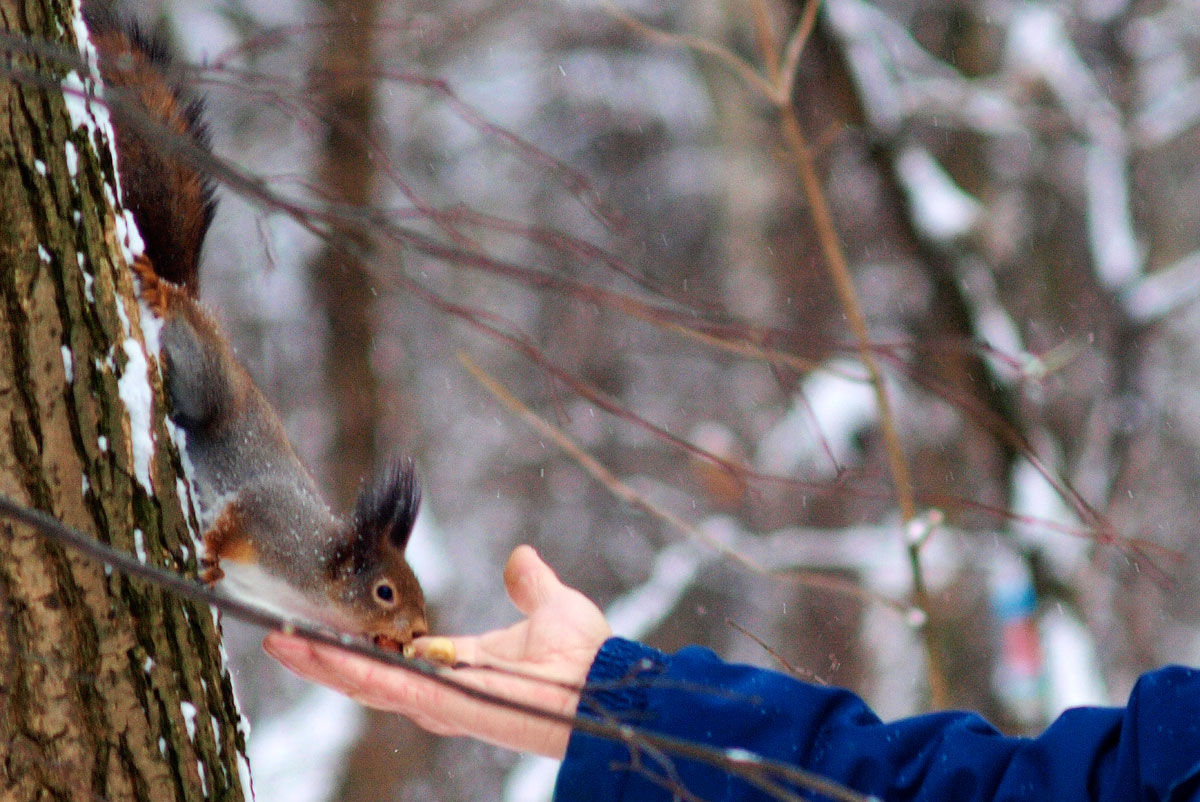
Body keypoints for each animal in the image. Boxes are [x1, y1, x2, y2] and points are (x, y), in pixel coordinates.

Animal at [85, 4, 432, 653]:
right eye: (385, 592)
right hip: (206, 376)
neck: (312, 579)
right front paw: (212, 552)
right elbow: (233, 520)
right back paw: (162, 295)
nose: (420, 632)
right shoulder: (269, 520)